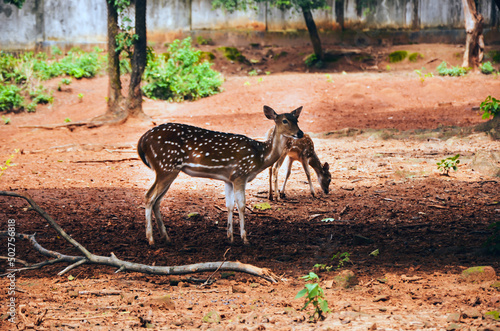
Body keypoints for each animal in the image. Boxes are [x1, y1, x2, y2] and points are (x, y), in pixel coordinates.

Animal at [135, 106, 304, 246]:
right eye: (284, 120)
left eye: (297, 119)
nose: (300, 133)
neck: (260, 157)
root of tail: (142, 141)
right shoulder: (240, 173)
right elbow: (241, 205)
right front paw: (245, 239)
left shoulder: (228, 179)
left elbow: (229, 205)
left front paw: (230, 238)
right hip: (166, 166)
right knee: (149, 196)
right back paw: (151, 240)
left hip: (168, 170)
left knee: (157, 201)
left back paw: (167, 238)